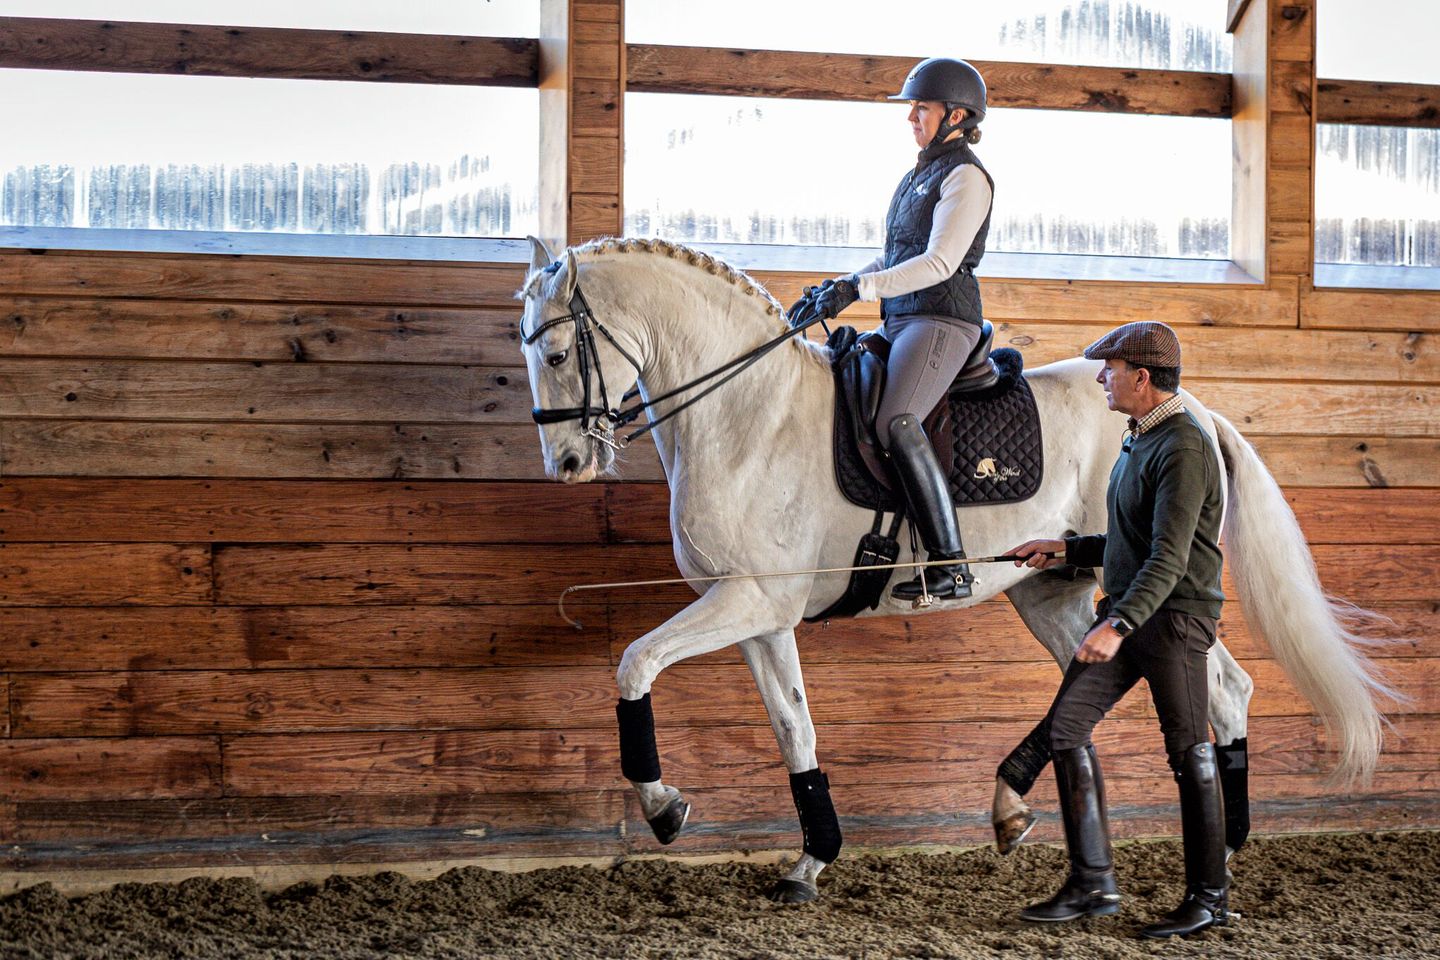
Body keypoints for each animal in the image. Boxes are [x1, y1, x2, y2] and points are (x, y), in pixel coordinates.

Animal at [518, 236, 1393, 903]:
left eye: (557, 352)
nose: (566, 464)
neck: (747, 415)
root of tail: (1193, 413)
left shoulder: (749, 601)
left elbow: (635, 663)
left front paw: (664, 807)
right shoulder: (760, 616)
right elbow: (793, 725)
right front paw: (811, 859)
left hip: (1140, 580)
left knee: (1220, 687)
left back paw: (1228, 845)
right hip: (1053, 591)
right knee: (1107, 684)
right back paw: (1019, 806)